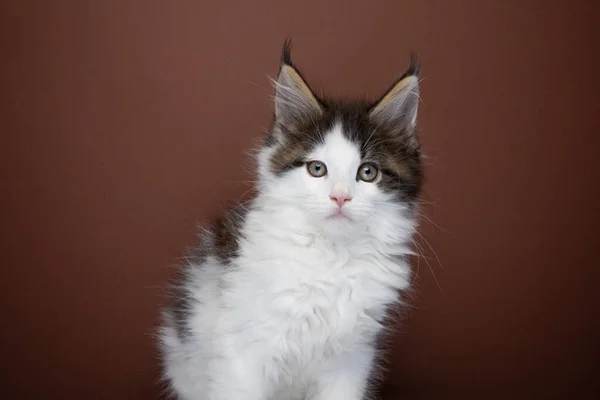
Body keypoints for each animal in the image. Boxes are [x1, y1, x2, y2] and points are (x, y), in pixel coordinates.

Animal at [158, 41, 422, 400]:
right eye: (317, 168)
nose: (340, 197)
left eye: (368, 172)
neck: (332, 257)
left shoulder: (350, 361)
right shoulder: (244, 355)